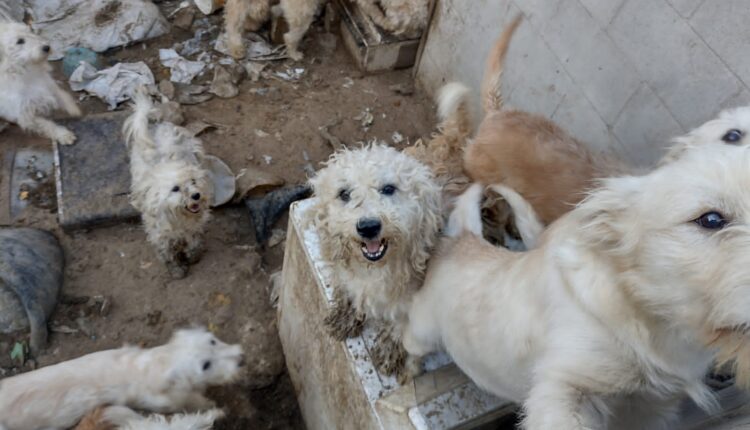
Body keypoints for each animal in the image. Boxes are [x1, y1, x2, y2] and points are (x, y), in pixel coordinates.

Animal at [0, 328, 244, 428]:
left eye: (212, 340)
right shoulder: (168, 402)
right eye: (205, 365)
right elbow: (196, 404)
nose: (241, 359)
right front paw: (212, 406)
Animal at [122, 89, 212, 280]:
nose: (196, 195)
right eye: (175, 189)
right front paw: (176, 269)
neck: (177, 216)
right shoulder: (160, 234)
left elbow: (194, 241)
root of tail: (156, 123)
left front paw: (194, 256)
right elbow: (167, 253)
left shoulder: (193, 227)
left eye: (193, 181)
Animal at [310, 143, 444, 378]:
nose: (368, 226)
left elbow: (398, 324)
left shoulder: (412, 300)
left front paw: (388, 351)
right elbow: (348, 290)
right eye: (344, 193)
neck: (374, 268)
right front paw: (345, 317)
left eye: (389, 188)